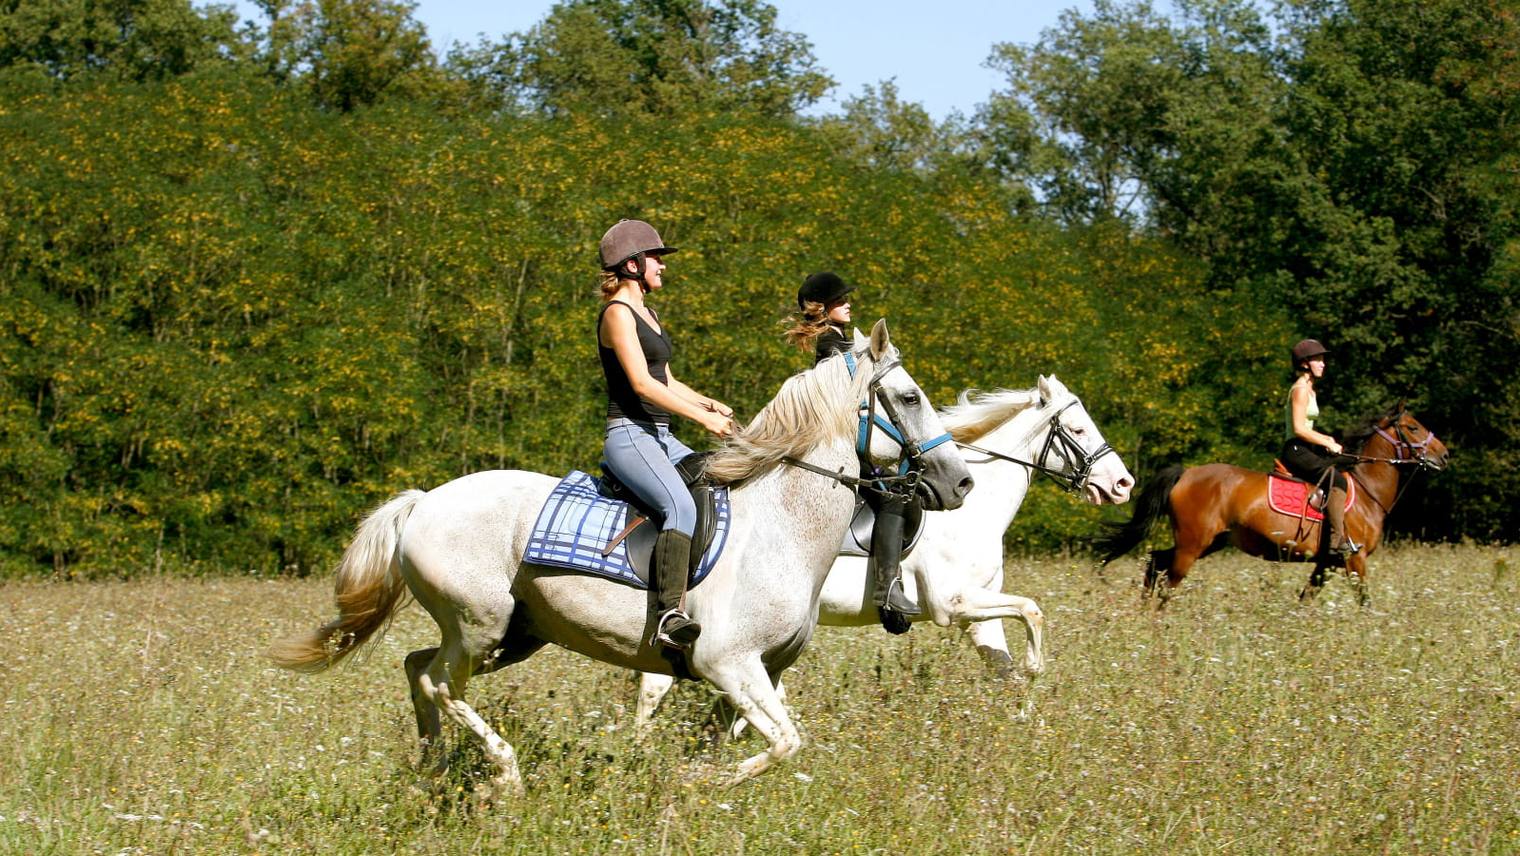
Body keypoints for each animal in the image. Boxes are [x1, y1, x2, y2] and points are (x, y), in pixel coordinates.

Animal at [268, 321, 974, 791]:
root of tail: (423, 502)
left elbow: (754, 738)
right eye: (909, 397)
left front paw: (687, 777)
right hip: (480, 624)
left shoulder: (761, 674)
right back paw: (504, 773)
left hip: (515, 634)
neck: (782, 526)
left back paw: (432, 767)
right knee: (440, 681)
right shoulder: (728, 664)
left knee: (419, 669)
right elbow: (786, 743)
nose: (961, 483)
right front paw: (693, 787)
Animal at [635, 374, 1135, 727]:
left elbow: (1005, 666)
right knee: (654, 684)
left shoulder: (979, 615)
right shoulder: (952, 604)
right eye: (1077, 429)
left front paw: (1027, 723)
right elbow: (1033, 611)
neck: (975, 509)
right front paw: (1036, 667)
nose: (1122, 484)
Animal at [1095, 403, 1448, 605]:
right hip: (1192, 546)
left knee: (1154, 562)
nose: (1444, 455)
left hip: (1208, 542)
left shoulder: (1326, 564)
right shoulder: (1354, 560)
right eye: (1413, 427)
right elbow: (1364, 601)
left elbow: (1305, 601)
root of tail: (1187, 473)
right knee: (1167, 583)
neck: (1365, 493)